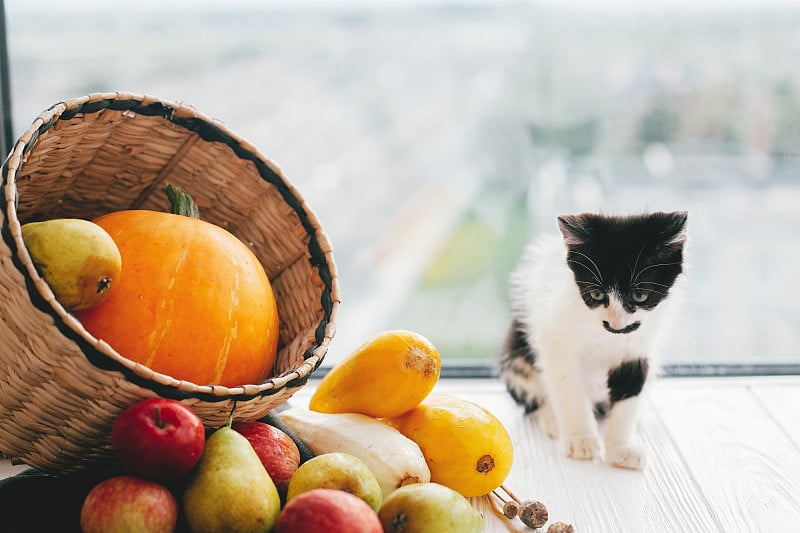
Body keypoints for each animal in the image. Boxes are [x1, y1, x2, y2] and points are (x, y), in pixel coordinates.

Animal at [496, 210, 684, 468]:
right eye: (596, 294)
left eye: (640, 296)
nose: (616, 324)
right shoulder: (555, 338)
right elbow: (568, 386)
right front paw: (581, 439)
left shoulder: (639, 348)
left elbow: (629, 392)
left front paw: (621, 448)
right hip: (515, 353)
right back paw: (551, 417)